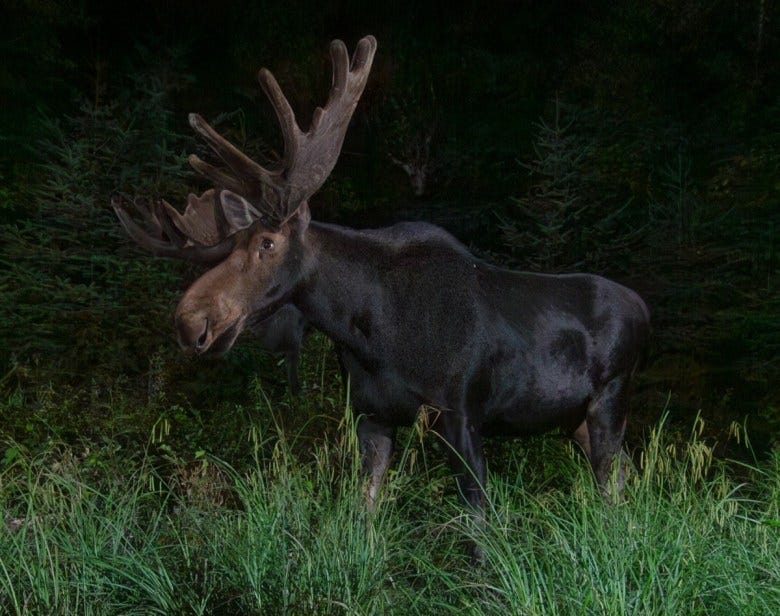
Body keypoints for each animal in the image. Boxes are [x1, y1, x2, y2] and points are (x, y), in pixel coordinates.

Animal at [113, 35, 650, 557]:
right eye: (228, 248)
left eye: (267, 243)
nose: (190, 322)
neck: (370, 335)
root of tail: (645, 309)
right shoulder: (371, 418)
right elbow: (363, 516)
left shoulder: (460, 413)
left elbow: (478, 531)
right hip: (575, 419)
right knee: (624, 476)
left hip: (610, 399)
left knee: (613, 485)